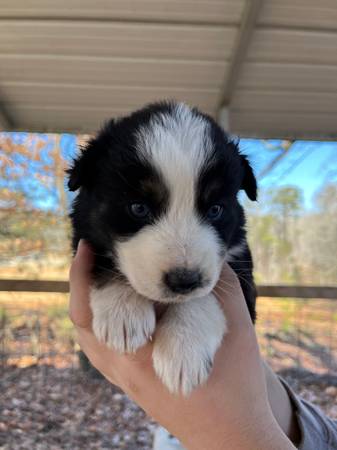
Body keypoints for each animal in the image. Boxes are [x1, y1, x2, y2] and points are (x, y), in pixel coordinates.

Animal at [68, 101, 258, 394]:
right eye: (138, 208)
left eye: (215, 210)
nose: (184, 281)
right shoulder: (84, 236)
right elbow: (106, 261)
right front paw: (123, 315)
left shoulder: (239, 264)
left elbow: (207, 295)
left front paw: (183, 351)